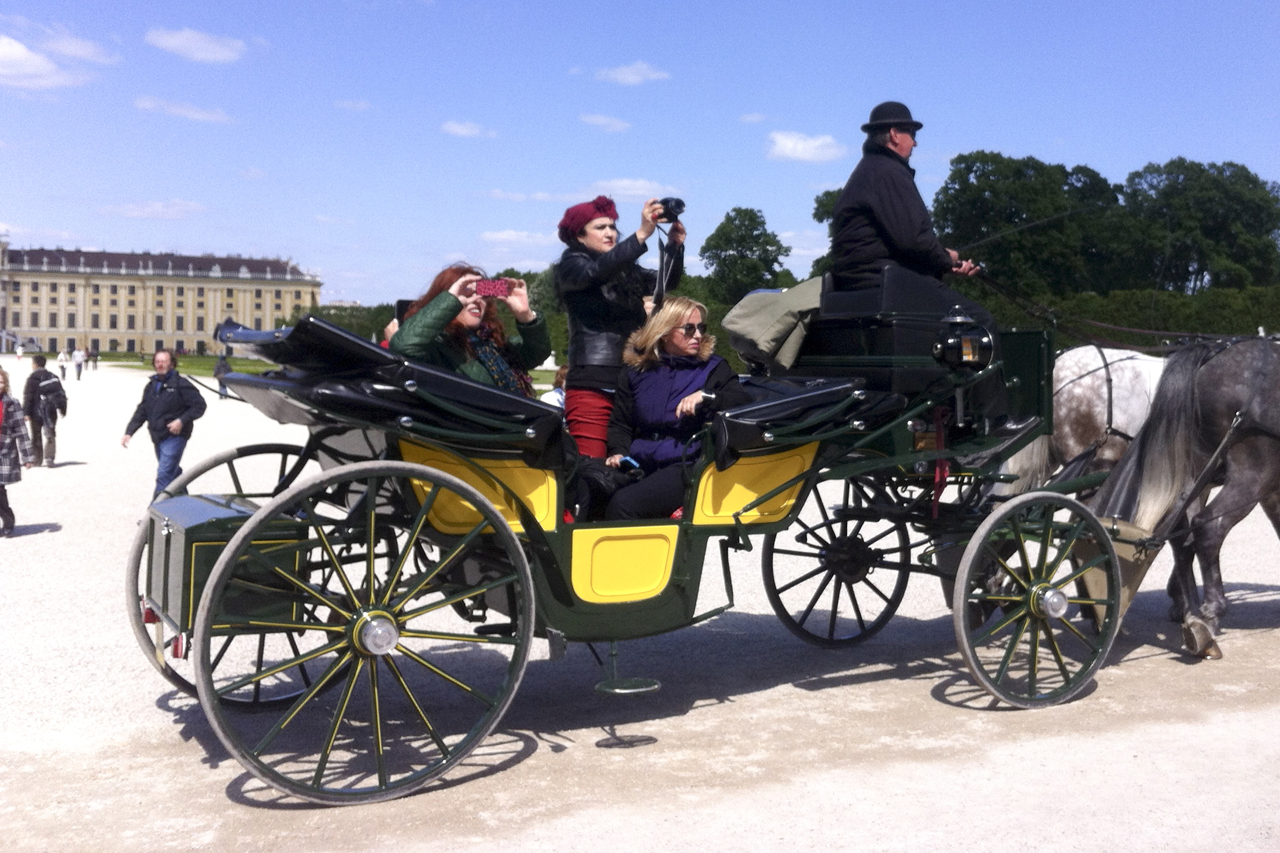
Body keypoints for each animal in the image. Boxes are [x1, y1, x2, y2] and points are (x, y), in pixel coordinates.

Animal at [1090, 336, 1280, 657]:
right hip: (1250, 476)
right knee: (1207, 527)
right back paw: (1210, 611)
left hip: (1199, 473)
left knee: (1182, 537)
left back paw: (1193, 616)